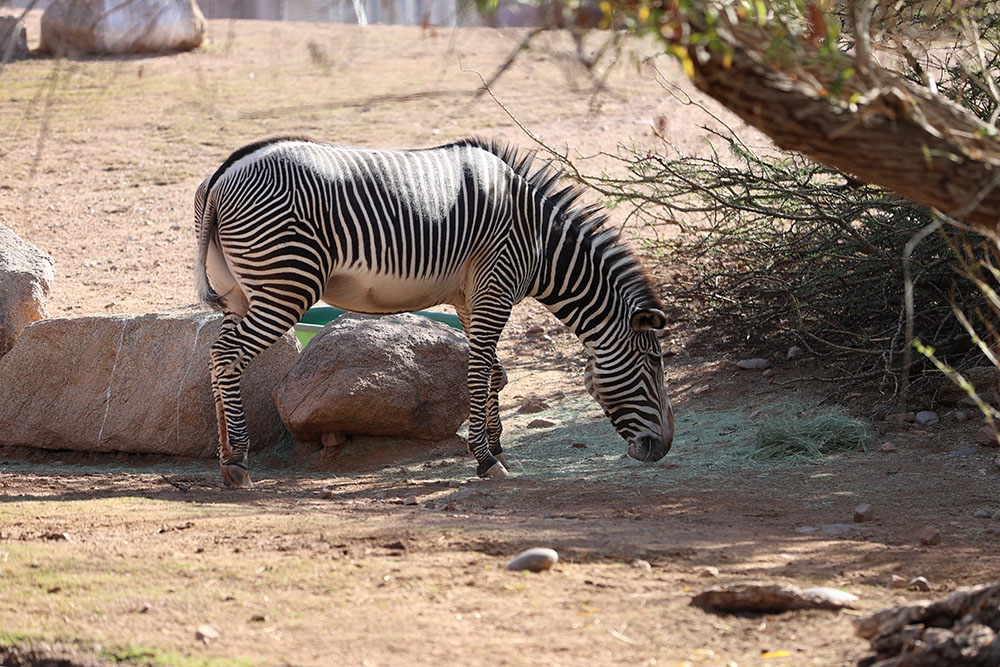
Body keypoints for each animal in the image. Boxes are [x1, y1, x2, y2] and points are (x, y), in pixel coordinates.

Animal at [194, 138, 672, 488]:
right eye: (654, 363)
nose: (663, 449)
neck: (539, 243)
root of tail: (222, 174)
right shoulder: (495, 289)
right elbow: (479, 373)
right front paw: (485, 459)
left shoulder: (470, 298)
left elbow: (494, 372)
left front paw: (496, 448)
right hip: (288, 283)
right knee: (227, 356)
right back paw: (237, 462)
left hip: (240, 292)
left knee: (218, 354)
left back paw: (226, 455)